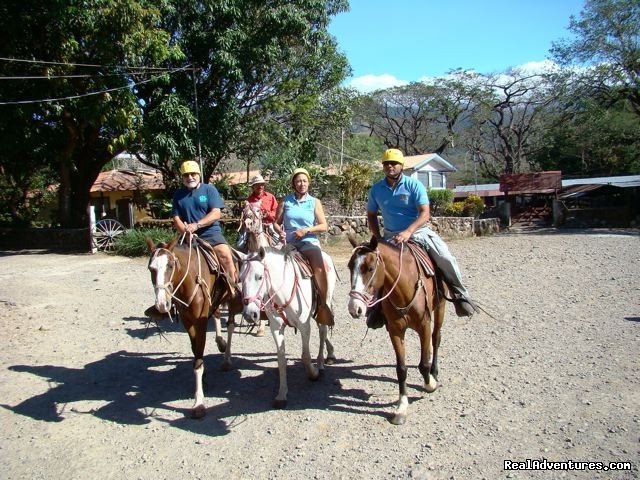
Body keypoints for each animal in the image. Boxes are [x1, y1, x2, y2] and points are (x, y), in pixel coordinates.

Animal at [146, 238, 241, 418]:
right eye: (151, 268)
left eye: (170, 265)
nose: (161, 304)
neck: (188, 279)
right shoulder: (187, 321)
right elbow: (195, 350)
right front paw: (203, 379)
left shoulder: (200, 321)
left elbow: (198, 360)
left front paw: (199, 403)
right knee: (217, 313)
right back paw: (220, 342)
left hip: (232, 300)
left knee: (231, 325)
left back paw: (226, 358)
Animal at [350, 234, 444, 426]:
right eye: (349, 266)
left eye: (370, 268)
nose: (355, 308)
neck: (404, 288)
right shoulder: (395, 330)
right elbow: (401, 369)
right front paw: (401, 408)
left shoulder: (424, 325)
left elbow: (423, 364)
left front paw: (430, 384)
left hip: (441, 307)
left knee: (436, 338)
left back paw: (435, 371)